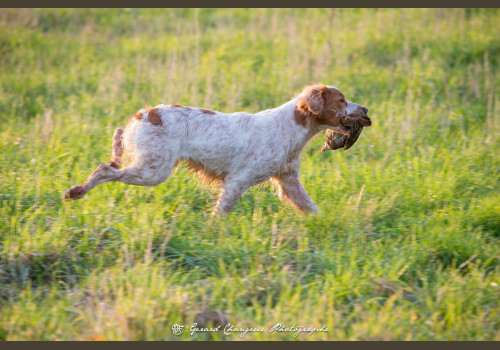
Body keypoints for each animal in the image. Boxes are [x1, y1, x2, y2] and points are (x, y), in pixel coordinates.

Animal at [64, 85, 370, 216]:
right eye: (341, 100)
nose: (366, 109)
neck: (290, 128)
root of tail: (144, 114)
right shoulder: (237, 182)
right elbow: (220, 214)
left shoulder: (289, 181)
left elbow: (313, 209)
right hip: (153, 171)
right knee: (104, 169)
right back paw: (75, 192)